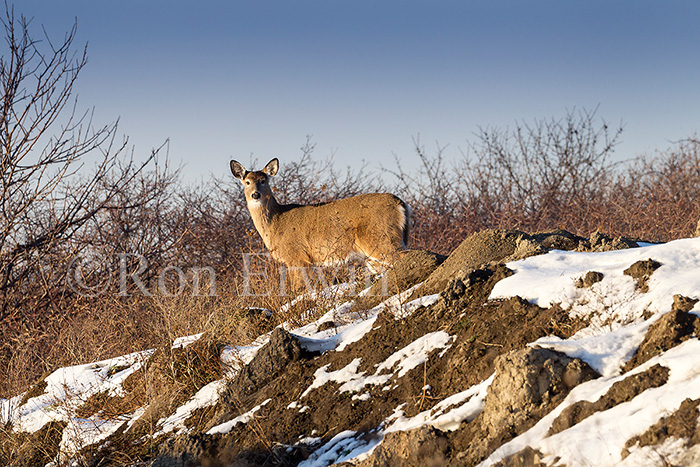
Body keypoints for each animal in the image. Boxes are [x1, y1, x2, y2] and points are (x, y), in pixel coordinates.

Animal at [230, 159, 408, 272]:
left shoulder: (296, 256)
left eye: (263, 180)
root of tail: (400, 203)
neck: (275, 221)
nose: (255, 194)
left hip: (380, 237)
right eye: (247, 182)